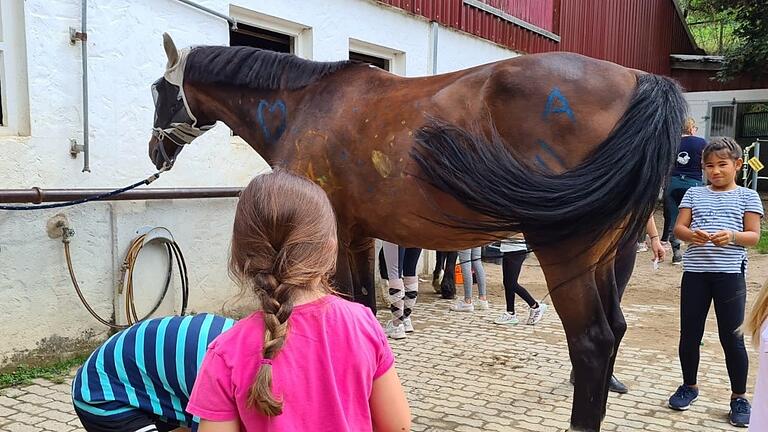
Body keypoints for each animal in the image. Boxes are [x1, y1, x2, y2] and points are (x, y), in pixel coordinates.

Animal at [148, 34, 684, 432]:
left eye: (158, 89)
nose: (155, 152)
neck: (306, 105)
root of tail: (639, 78)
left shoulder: (328, 236)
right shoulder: (359, 236)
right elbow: (365, 307)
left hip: (565, 247)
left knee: (592, 341)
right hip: (606, 255)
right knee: (615, 327)